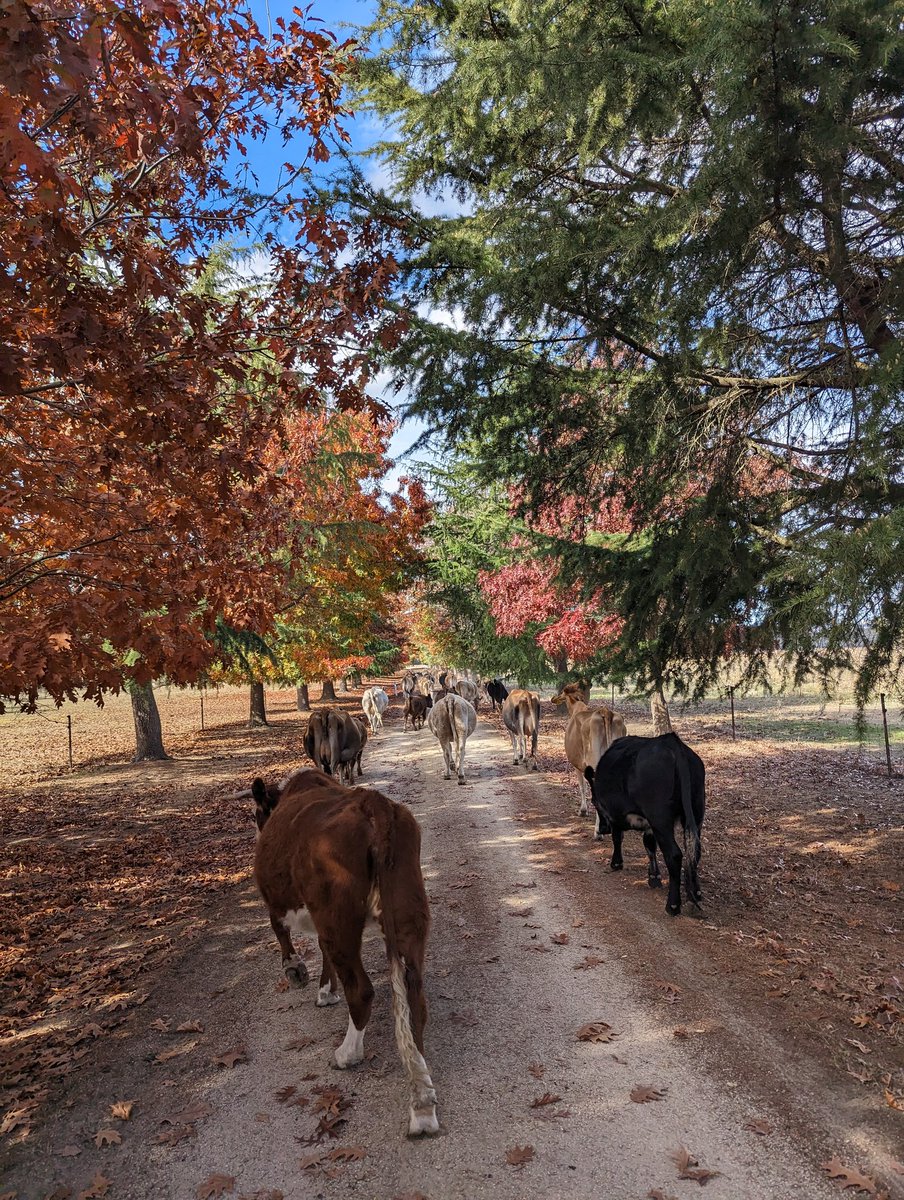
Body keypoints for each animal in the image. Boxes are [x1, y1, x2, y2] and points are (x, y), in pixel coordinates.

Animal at [252, 763, 439, 1137]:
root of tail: (373, 803)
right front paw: (326, 990)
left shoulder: (277, 902)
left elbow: (280, 930)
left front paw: (296, 971)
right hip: (407, 910)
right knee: (414, 997)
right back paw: (423, 1104)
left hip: (337, 917)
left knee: (362, 990)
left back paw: (346, 1054)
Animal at [549, 681, 629, 820]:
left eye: (563, 693)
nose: (555, 698)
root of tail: (605, 711)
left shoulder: (577, 764)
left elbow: (582, 787)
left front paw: (583, 810)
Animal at [585, 729, 705, 916]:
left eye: (594, 802)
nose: (603, 829)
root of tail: (672, 743)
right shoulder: (648, 824)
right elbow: (649, 845)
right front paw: (653, 876)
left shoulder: (616, 814)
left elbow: (618, 838)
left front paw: (616, 862)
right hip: (696, 812)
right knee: (694, 850)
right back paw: (695, 894)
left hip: (660, 817)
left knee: (674, 855)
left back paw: (673, 905)